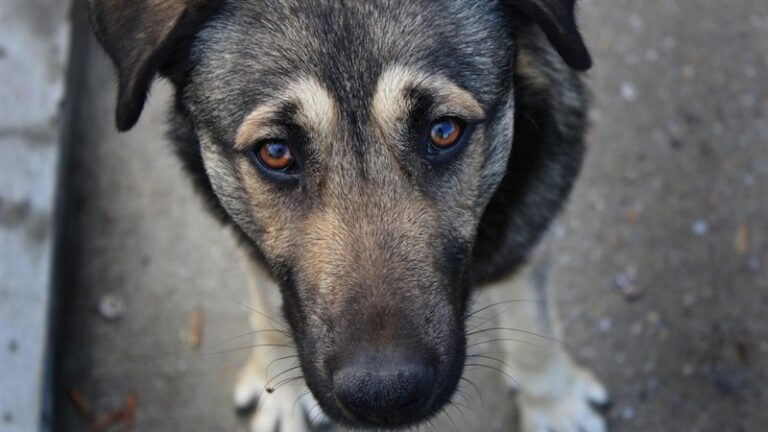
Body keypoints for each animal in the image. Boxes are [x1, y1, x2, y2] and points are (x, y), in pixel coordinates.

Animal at [88, 0, 608, 428]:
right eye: (276, 152)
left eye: (444, 131)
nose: (385, 396)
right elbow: (268, 303)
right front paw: (282, 389)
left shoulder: (528, 226)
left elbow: (535, 334)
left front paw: (555, 407)